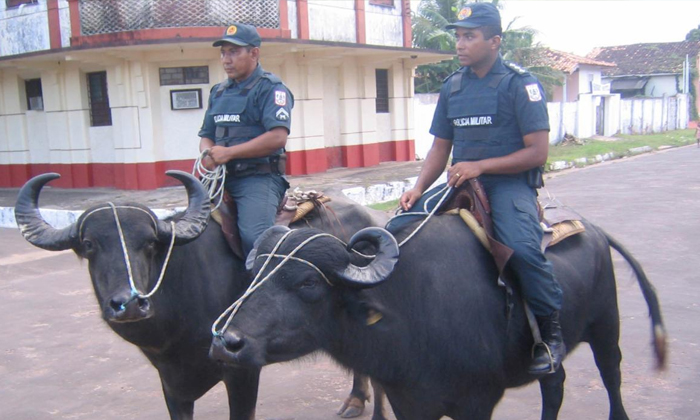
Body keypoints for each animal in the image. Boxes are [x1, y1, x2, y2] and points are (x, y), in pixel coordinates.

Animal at [15, 171, 388, 420]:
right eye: (89, 245)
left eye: (149, 243)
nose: (129, 303)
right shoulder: (171, 383)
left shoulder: (241, 372)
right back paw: (355, 400)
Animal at [209, 215, 668, 418]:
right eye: (256, 273)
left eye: (307, 283)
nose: (226, 342)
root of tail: (594, 230)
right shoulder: (410, 403)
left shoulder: (478, 403)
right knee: (554, 386)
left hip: (606, 327)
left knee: (612, 375)